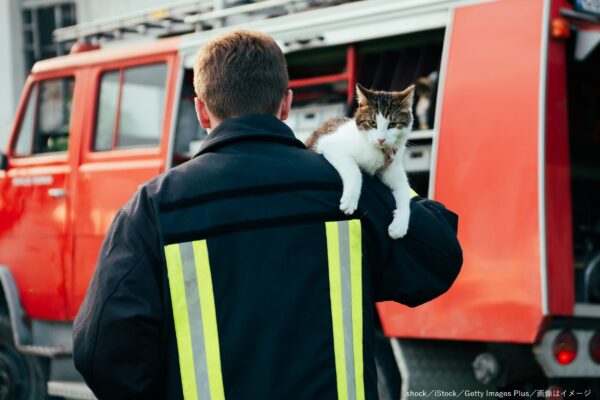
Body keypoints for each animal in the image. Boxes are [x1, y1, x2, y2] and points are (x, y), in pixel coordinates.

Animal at [308, 81, 414, 238]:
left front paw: (400, 225)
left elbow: (404, 191)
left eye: (393, 124)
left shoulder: (394, 166)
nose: (381, 139)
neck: (379, 152)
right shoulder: (330, 144)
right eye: (372, 123)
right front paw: (350, 199)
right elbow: (355, 172)